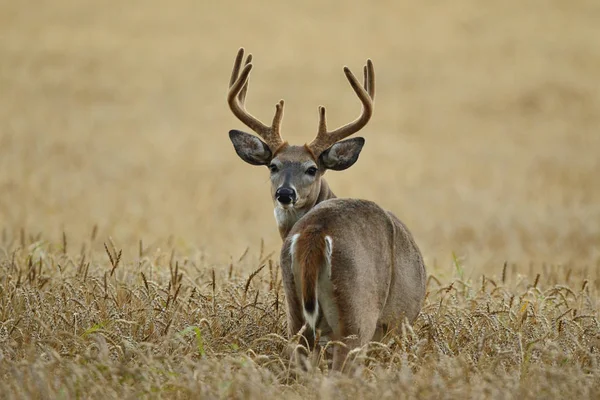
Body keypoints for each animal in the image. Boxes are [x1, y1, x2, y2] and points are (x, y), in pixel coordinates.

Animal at [226, 47, 426, 372]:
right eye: (273, 165)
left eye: (312, 168)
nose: (285, 193)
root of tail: (316, 233)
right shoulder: (395, 325)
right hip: (356, 313)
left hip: (295, 309)